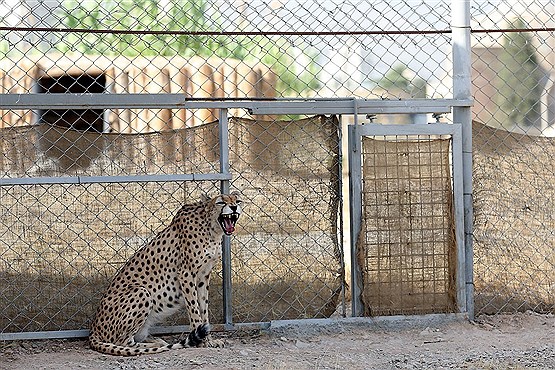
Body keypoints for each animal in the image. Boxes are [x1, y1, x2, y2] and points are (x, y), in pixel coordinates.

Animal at [89, 191, 241, 356]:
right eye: (220, 202)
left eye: (238, 201)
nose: (234, 207)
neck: (212, 229)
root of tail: (93, 330)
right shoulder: (186, 273)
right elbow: (194, 310)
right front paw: (202, 342)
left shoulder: (203, 276)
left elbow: (203, 310)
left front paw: (210, 340)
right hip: (141, 291)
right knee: (123, 342)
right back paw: (157, 344)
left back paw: (157, 340)